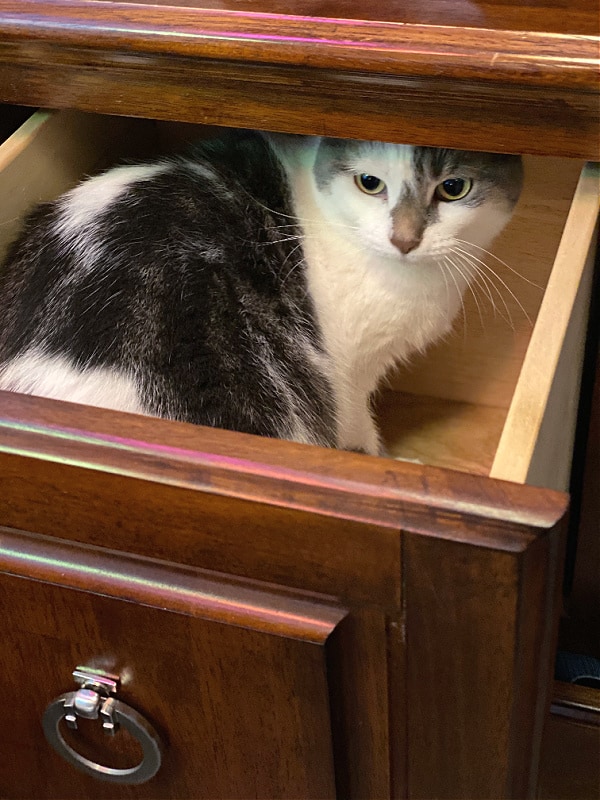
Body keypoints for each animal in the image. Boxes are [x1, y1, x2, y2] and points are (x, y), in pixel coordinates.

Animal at [0, 132, 524, 456]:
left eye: (453, 188)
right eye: (369, 183)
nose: (405, 239)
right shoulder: (347, 378)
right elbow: (357, 424)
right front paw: (378, 454)